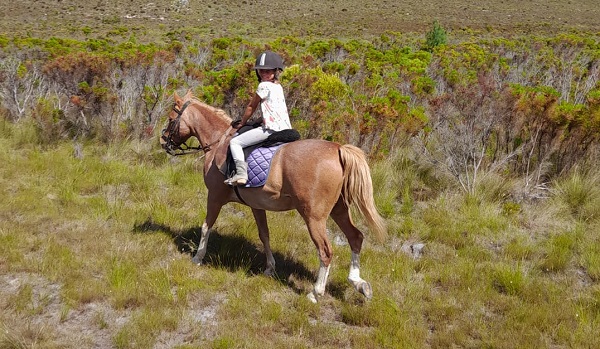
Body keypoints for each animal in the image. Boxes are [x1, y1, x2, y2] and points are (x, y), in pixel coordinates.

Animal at [161, 90, 384, 302]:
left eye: (171, 118)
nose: (164, 142)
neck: (218, 142)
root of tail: (338, 149)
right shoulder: (256, 205)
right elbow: (264, 235)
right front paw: (269, 268)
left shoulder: (214, 197)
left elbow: (206, 226)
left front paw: (198, 258)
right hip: (339, 209)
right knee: (355, 237)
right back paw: (358, 283)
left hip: (314, 217)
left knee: (326, 251)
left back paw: (316, 292)